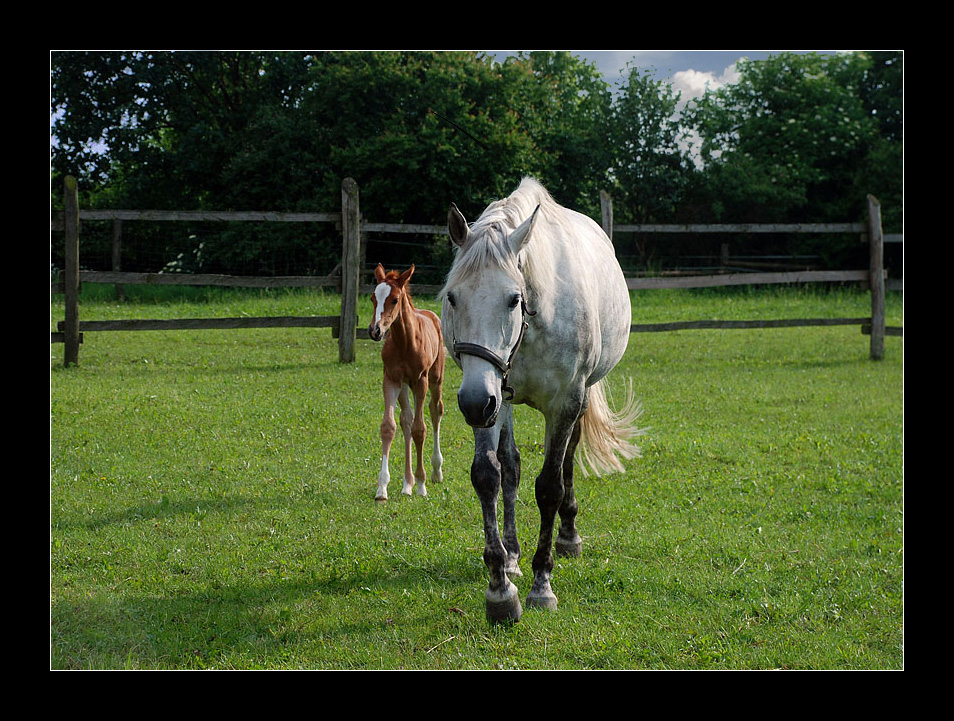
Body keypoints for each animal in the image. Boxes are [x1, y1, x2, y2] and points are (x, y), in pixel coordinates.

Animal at [440, 177, 640, 620]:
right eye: (452, 297)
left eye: (513, 298)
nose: (472, 403)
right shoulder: (491, 394)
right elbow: (490, 475)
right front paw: (500, 586)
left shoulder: (564, 401)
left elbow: (550, 485)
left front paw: (541, 584)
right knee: (511, 467)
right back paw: (514, 554)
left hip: (572, 400)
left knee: (567, 460)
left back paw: (568, 536)